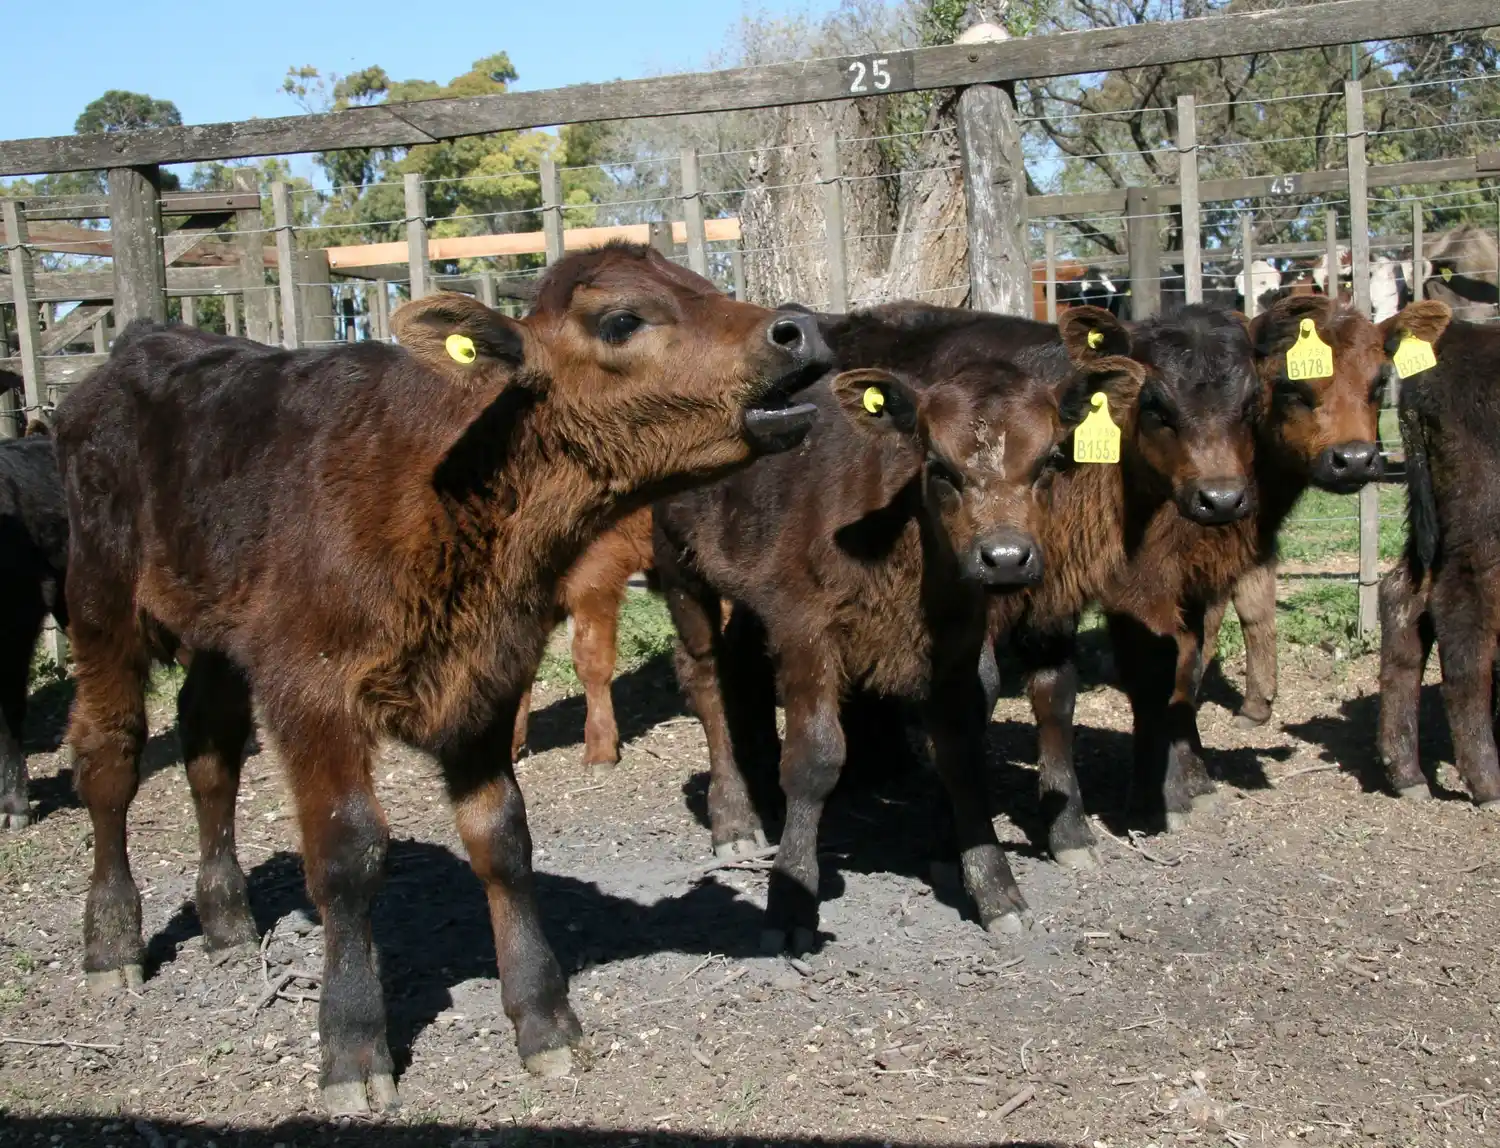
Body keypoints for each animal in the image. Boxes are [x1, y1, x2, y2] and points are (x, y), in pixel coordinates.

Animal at [52, 242, 831, 1116]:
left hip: (218, 636)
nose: (798, 330)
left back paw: (225, 920)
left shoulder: (485, 684)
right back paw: (111, 941)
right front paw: (353, 1045)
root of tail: (139, 346)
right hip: (102, 603)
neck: (445, 492)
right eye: (621, 319)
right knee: (110, 756)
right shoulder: (312, 692)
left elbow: (503, 839)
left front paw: (544, 1020)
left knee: (210, 752)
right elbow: (348, 854)